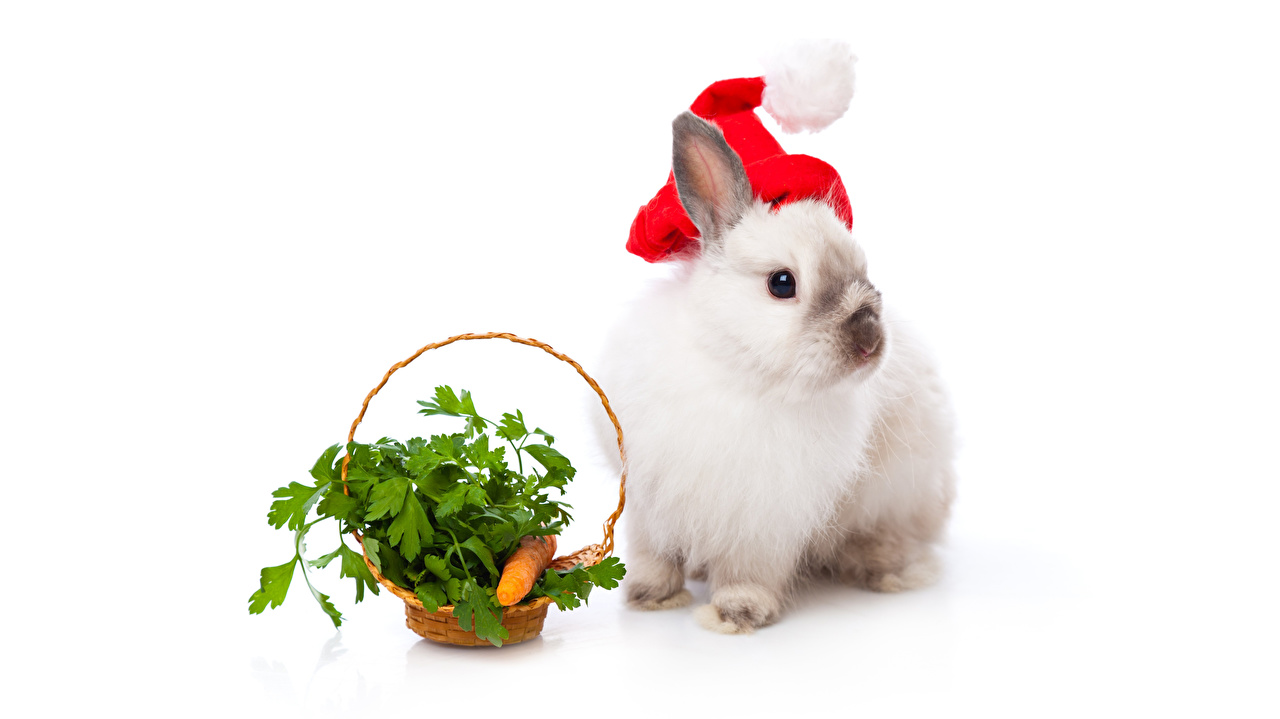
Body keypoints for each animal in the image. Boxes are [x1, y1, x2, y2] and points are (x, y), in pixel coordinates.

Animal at [594, 111, 957, 634]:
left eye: (864, 271)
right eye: (782, 283)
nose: (869, 342)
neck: (735, 371)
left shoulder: (764, 520)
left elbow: (747, 571)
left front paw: (737, 613)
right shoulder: (647, 502)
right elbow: (653, 555)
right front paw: (649, 596)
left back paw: (879, 567)